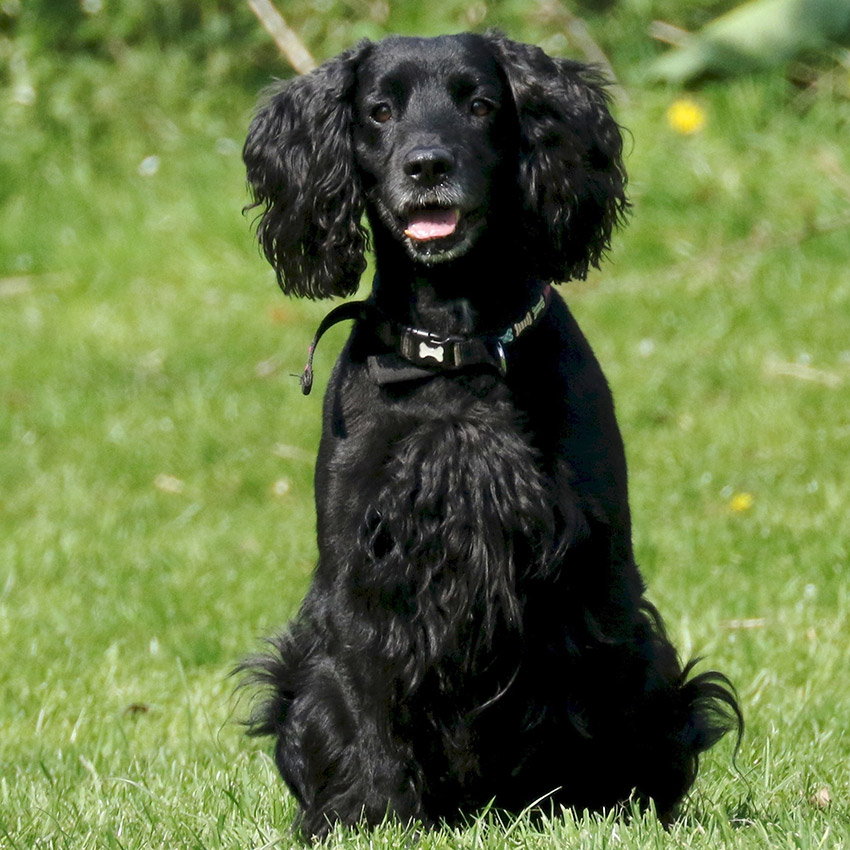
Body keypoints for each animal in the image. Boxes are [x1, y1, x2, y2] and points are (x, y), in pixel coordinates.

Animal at [237, 31, 736, 836]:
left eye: (479, 104)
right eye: (380, 111)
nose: (427, 165)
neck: (457, 348)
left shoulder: (590, 571)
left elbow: (587, 689)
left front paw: (597, 811)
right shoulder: (363, 569)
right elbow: (367, 697)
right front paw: (371, 817)